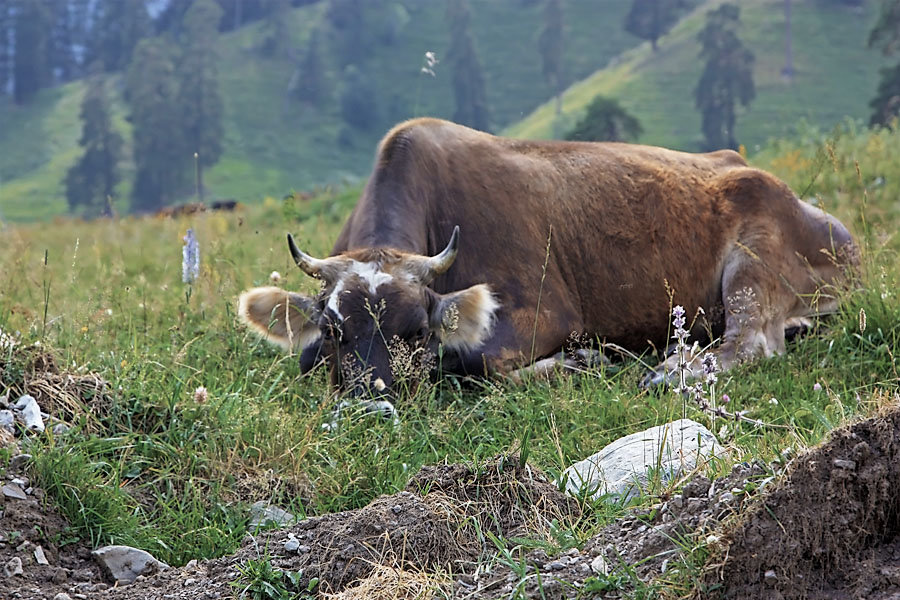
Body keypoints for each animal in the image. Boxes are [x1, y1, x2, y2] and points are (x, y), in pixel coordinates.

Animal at [239, 117, 856, 400]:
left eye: (415, 329)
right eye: (335, 330)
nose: (372, 401)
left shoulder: (545, 311)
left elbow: (474, 360)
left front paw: (580, 361)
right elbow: (305, 360)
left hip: (754, 259)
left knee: (750, 342)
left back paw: (669, 370)